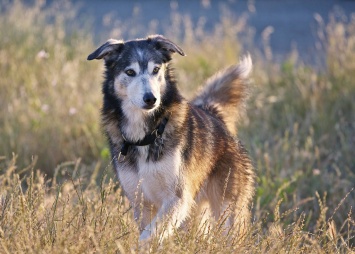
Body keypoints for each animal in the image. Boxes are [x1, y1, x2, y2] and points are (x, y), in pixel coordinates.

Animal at [89, 35, 256, 240]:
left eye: (155, 70)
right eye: (130, 72)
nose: (151, 98)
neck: (146, 135)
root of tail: (214, 114)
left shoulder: (177, 198)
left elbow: (149, 236)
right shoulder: (141, 203)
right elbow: (148, 233)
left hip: (226, 211)